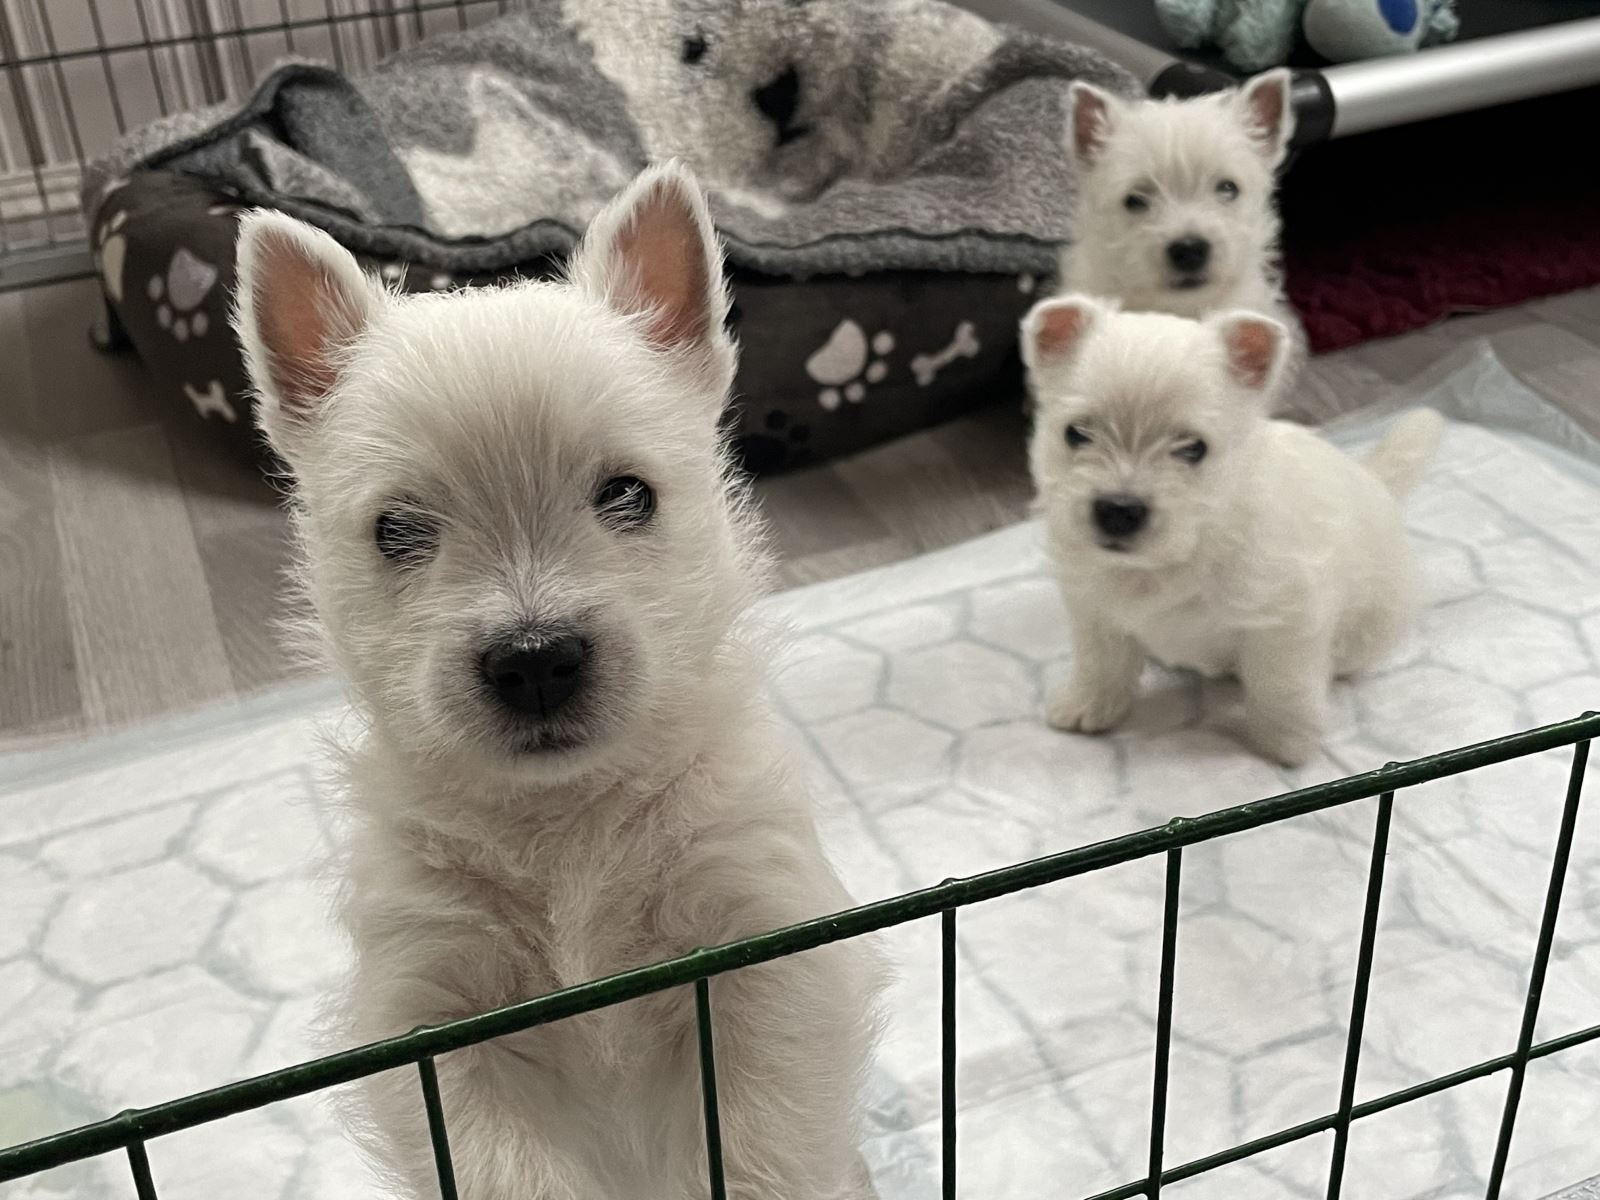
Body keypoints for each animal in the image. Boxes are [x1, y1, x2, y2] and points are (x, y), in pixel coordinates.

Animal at [235, 162, 883, 1200]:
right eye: (396, 529)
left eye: (627, 494)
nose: (535, 659)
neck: (564, 825)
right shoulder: (438, 1013)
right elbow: (506, 1168)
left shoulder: (765, 947)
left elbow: (757, 1146)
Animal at [1024, 294, 1452, 764]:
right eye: (1077, 433)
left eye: (1193, 448)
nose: (1118, 511)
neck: (1170, 560)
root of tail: (1377, 482)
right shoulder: (1094, 608)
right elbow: (1100, 662)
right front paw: (1086, 706)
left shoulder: (1285, 619)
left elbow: (1281, 683)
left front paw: (1286, 742)